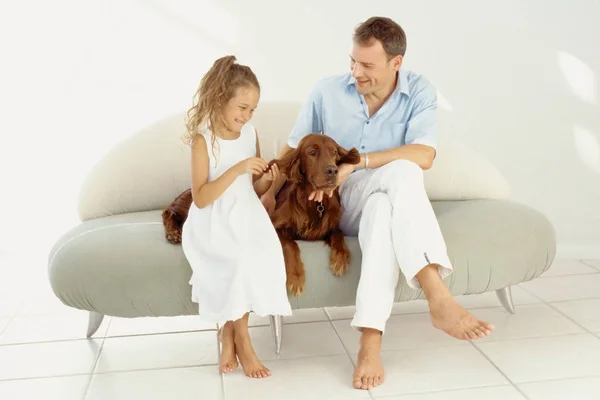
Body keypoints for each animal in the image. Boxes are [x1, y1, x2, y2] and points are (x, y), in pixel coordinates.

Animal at [162, 136, 360, 296]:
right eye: (312, 152)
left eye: (334, 152)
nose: (333, 171)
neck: (314, 203)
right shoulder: (276, 227)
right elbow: (292, 245)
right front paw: (296, 277)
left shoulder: (329, 227)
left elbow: (338, 235)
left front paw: (340, 259)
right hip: (195, 202)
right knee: (168, 211)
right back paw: (172, 232)